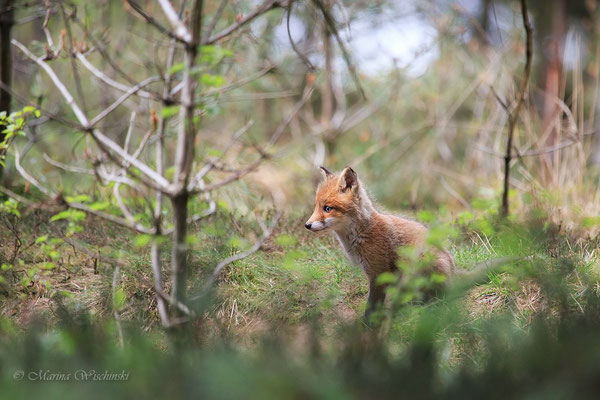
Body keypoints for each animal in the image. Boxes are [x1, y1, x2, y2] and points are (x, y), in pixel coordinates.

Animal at [308, 167, 452, 320]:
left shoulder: (378, 273)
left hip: (418, 264)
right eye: (316, 207)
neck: (361, 234)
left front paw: (367, 322)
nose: (307, 225)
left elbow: (372, 306)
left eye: (327, 208)